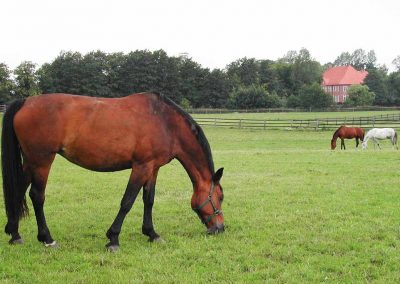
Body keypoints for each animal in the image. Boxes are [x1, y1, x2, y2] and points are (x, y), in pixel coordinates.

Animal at [1, 93, 225, 251]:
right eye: (220, 197)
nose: (220, 228)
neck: (165, 122)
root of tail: (26, 102)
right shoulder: (141, 166)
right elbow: (127, 201)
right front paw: (113, 238)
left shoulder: (153, 168)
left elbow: (148, 200)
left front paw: (152, 234)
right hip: (42, 161)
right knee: (36, 196)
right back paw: (47, 238)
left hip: (31, 161)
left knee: (19, 191)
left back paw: (15, 234)